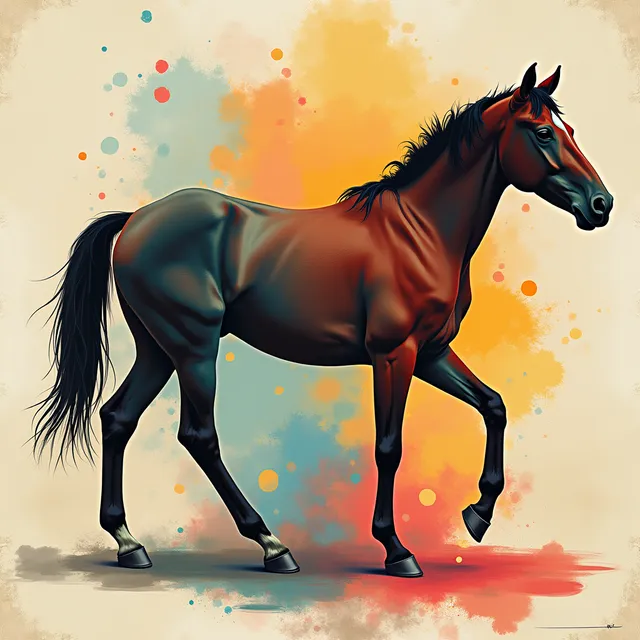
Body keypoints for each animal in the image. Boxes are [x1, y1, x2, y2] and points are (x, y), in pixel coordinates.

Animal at [32, 62, 613, 579]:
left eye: (570, 130)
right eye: (543, 132)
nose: (601, 205)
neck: (420, 232)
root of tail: (134, 220)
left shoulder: (431, 353)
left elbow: (493, 406)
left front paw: (478, 514)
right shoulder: (393, 354)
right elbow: (388, 447)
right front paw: (397, 551)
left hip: (158, 349)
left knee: (118, 418)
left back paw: (129, 543)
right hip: (193, 347)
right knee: (198, 435)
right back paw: (271, 545)